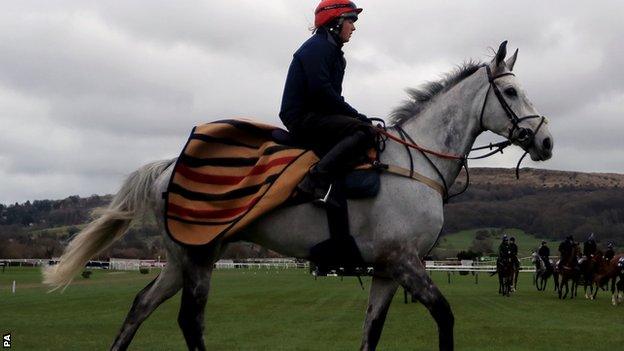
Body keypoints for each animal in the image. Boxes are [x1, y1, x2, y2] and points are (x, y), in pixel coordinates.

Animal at [44, 42, 556, 351]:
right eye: (512, 91)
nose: (547, 141)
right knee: (189, 321)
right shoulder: (406, 262)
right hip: (199, 258)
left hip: (182, 258)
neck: (417, 165)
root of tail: (167, 166)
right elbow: (445, 318)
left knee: (140, 306)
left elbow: (371, 331)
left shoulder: (388, 270)